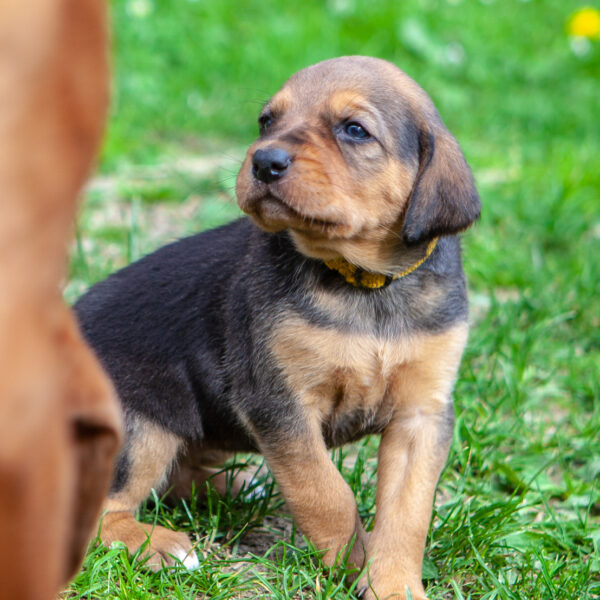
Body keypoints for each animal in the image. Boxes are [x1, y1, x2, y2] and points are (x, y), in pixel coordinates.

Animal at [74, 57, 478, 600]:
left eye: (355, 130)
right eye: (267, 121)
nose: (264, 161)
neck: (364, 285)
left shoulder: (423, 414)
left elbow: (407, 513)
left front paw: (392, 583)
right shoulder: (278, 401)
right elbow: (325, 492)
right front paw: (351, 561)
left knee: (182, 477)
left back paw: (242, 487)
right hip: (140, 427)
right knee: (101, 511)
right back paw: (163, 546)